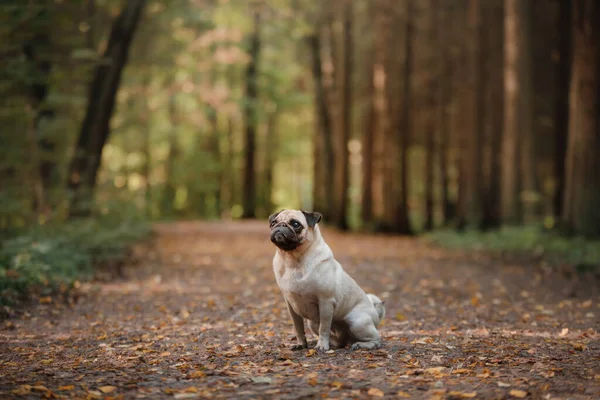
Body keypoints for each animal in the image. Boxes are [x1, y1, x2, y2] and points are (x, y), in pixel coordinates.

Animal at [270, 209, 386, 350]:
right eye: (273, 222)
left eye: (295, 224)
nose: (280, 225)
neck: (292, 261)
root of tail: (375, 312)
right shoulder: (291, 306)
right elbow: (298, 328)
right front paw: (301, 344)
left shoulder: (325, 301)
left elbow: (324, 328)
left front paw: (321, 346)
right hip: (313, 323)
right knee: (339, 341)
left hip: (357, 321)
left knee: (376, 339)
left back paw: (360, 344)